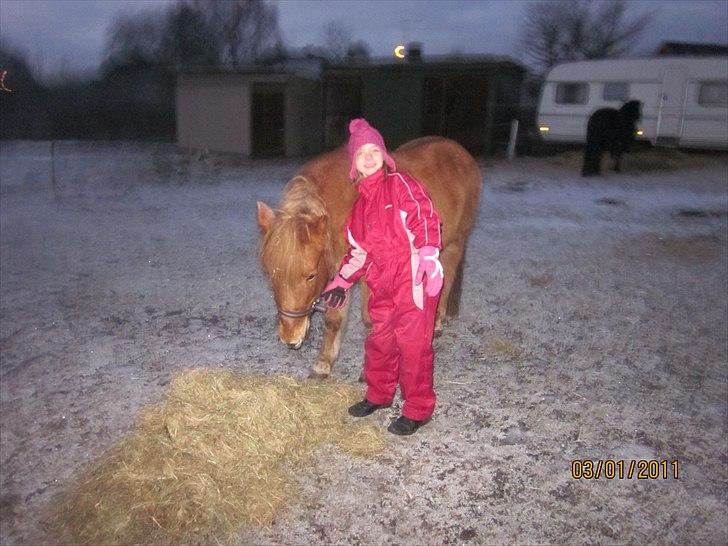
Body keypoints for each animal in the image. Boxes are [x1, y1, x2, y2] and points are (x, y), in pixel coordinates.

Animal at [258, 137, 484, 378]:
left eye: (310, 275)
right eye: (270, 274)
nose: (290, 338)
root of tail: (459, 152)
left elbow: (369, 321)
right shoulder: (339, 272)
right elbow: (334, 320)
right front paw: (324, 363)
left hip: (455, 244)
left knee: (447, 280)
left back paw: (437, 323)